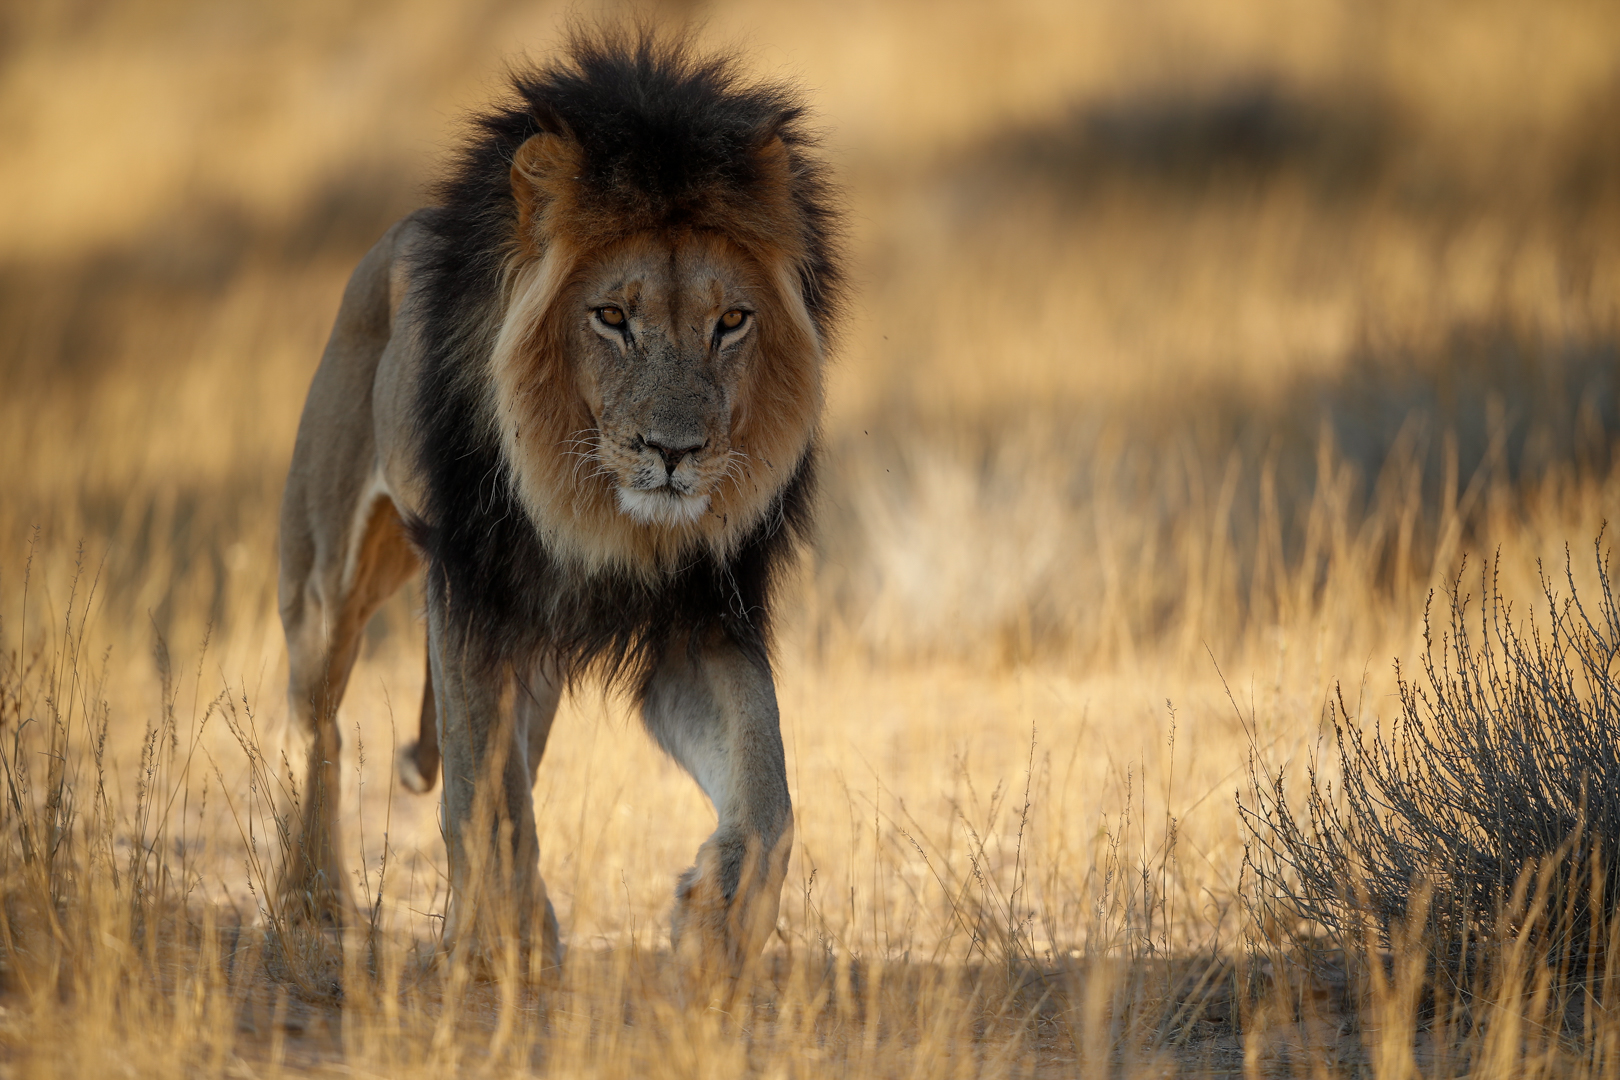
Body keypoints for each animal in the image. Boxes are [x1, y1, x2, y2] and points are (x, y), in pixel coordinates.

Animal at [274, 30, 843, 976]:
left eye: (731, 322)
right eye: (612, 317)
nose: (675, 453)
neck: (603, 521)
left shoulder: (698, 620)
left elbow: (768, 787)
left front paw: (718, 922)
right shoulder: (469, 593)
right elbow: (481, 793)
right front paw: (490, 947)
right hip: (327, 578)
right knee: (318, 729)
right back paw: (311, 902)